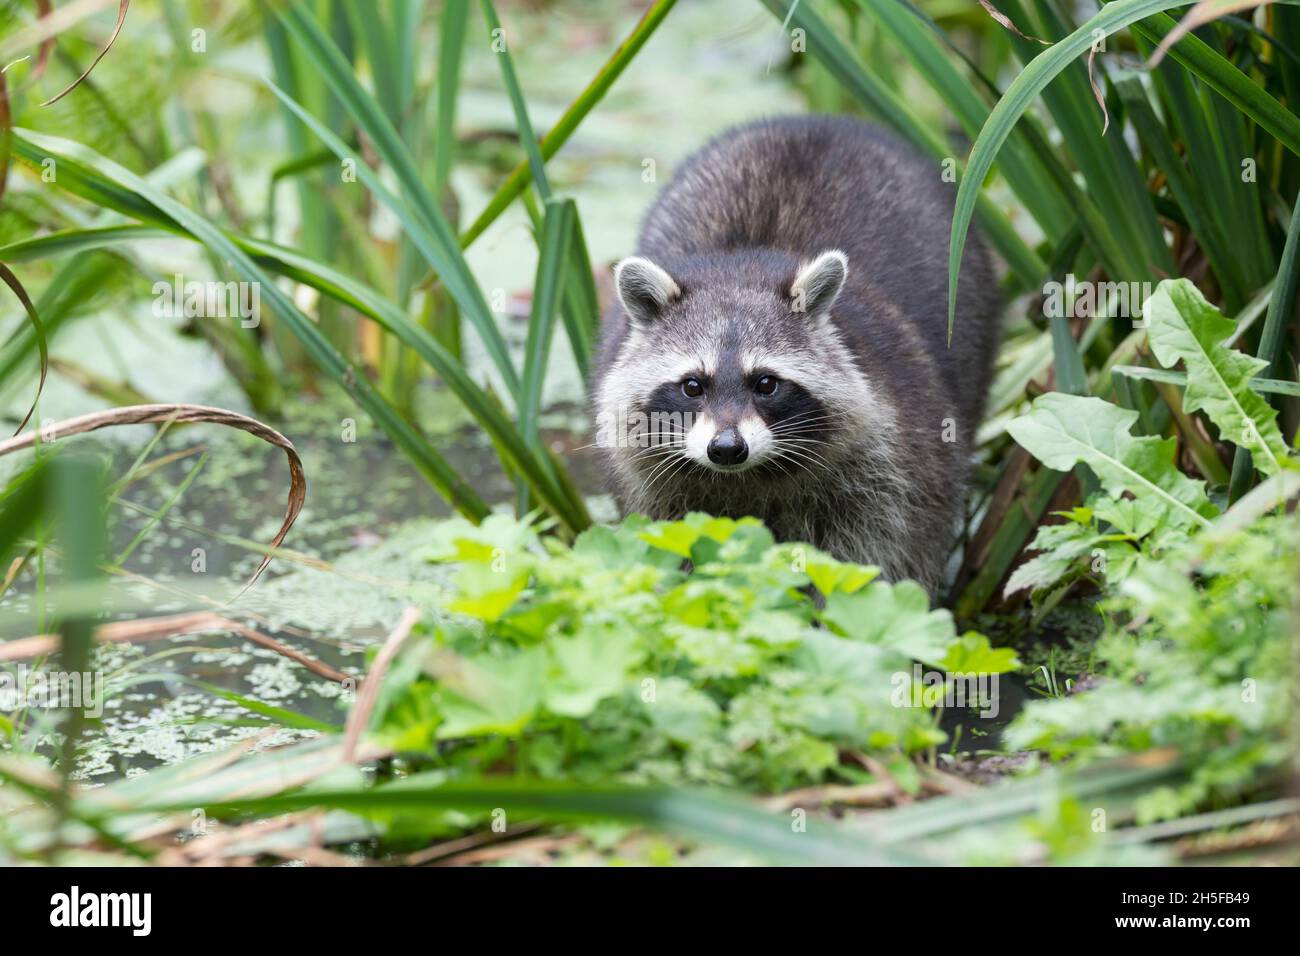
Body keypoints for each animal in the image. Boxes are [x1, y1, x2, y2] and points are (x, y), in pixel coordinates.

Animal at [595, 115, 998, 595]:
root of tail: (819, 120)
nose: (727, 449)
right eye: (693, 385)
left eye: (766, 383)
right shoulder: (654, 487)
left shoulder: (893, 457)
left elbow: (884, 553)